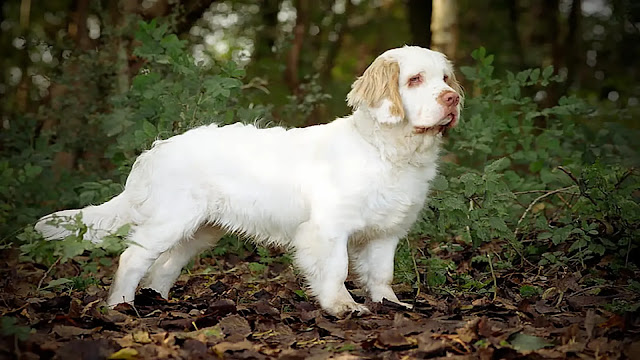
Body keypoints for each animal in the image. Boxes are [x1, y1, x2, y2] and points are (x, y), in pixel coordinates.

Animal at [36, 45, 460, 318]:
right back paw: (121, 307)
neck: (386, 150)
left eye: (445, 78)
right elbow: (337, 270)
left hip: (200, 231)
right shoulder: (328, 230)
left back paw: (159, 302)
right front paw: (342, 306)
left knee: (165, 267)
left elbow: (382, 274)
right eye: (415, 79)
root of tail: (155, 151)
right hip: (170, 221)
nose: (452, 99)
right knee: (133, 258)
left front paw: (391, 305)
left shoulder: (387, 234)